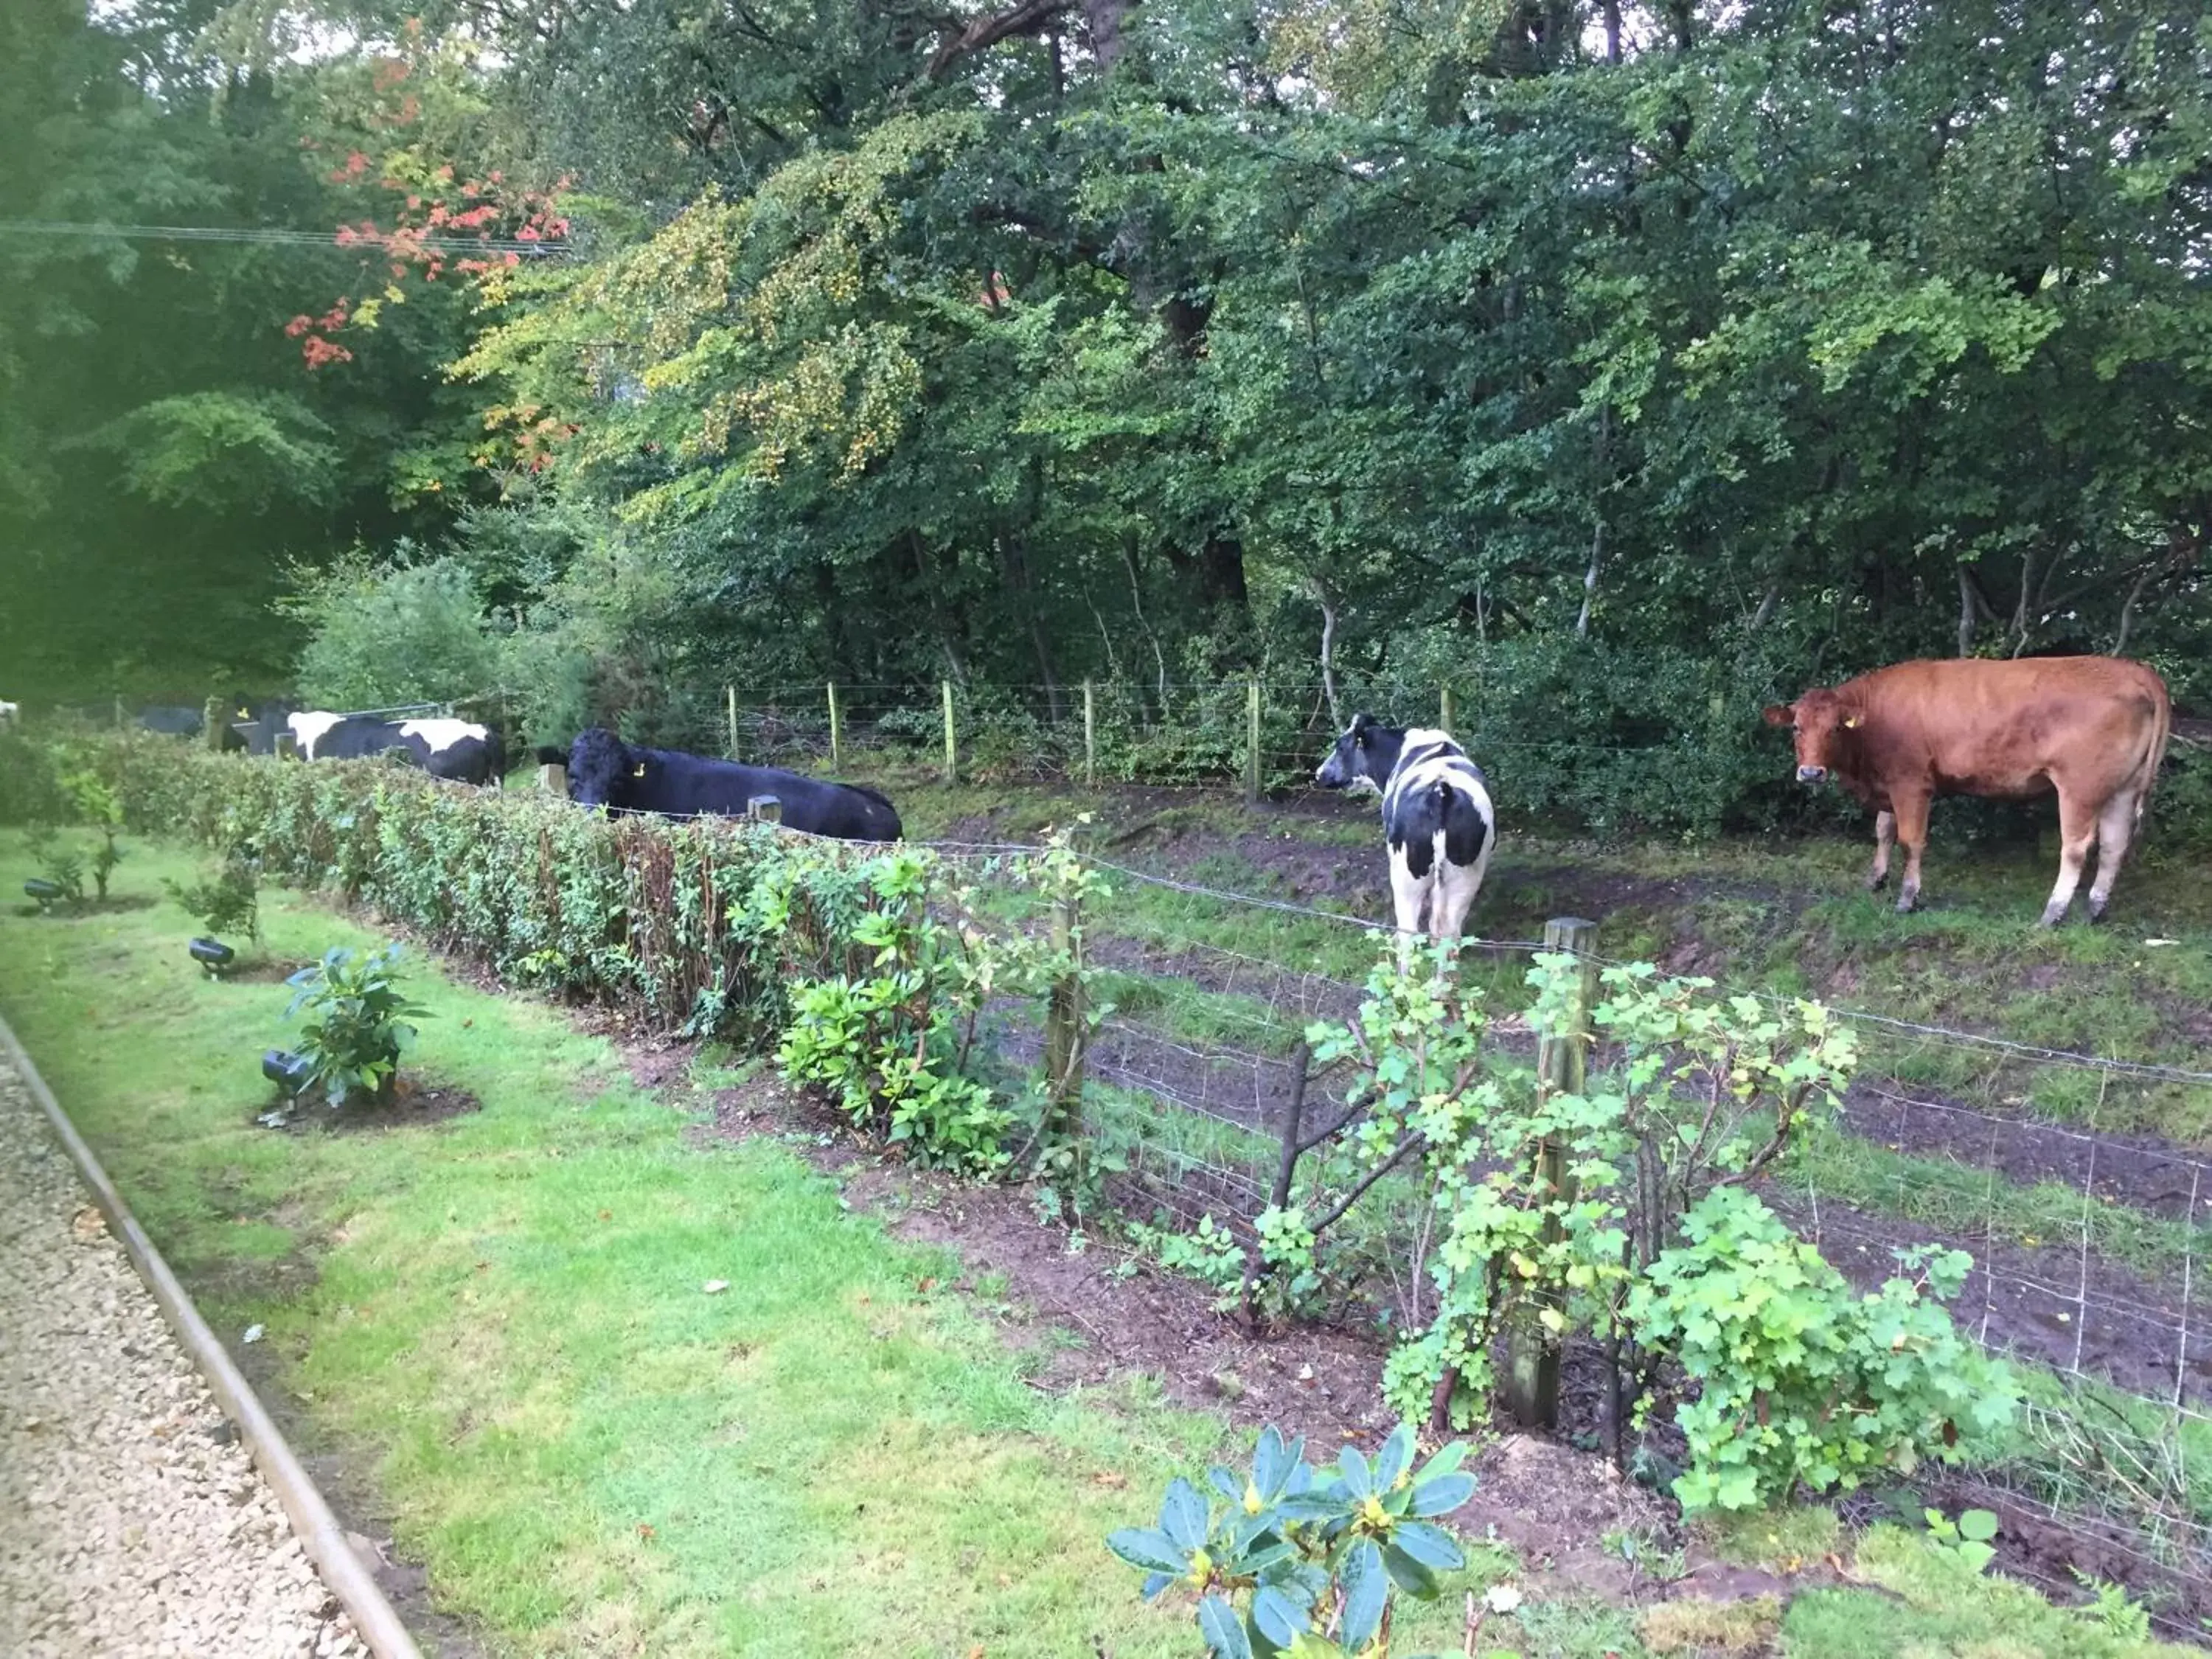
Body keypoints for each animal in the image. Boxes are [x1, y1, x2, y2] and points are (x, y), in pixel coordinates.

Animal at [1318, 717, 1495, 973]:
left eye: (1340, 747)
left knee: (1408, 935)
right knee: (1450, 935)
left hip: (1405, 877)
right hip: (1465, 878)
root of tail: (1441, 791)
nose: (1319, 774)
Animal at [1770, 659, 2168, 925]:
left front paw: (1908, 898)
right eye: (1796, 727)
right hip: (2122, 787)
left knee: (2075, 848)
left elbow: (1910, 841)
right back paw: (2095, 909)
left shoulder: (1911, 782)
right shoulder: (1888, 782)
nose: (1811, 772)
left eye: (1836, 727)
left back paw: (2052, 914)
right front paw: (1876, 879)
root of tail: (2135, 671)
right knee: (2114, 846)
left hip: (2080, 787)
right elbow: (1883, 830)